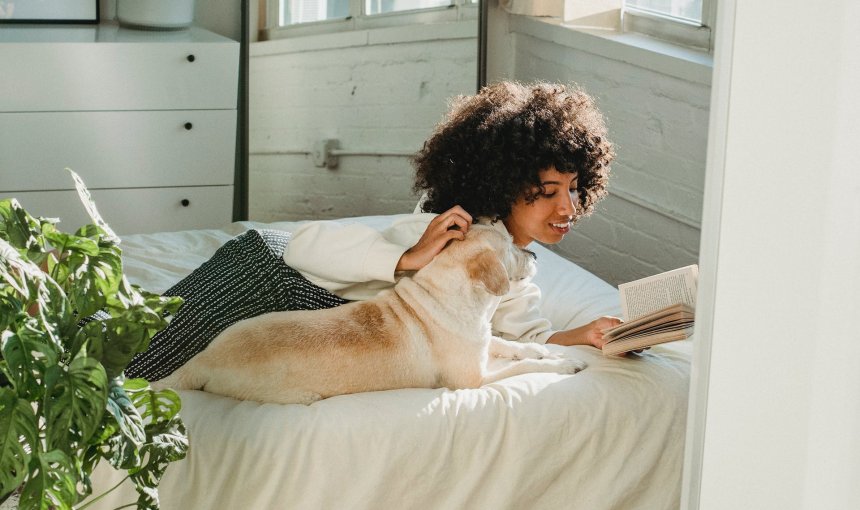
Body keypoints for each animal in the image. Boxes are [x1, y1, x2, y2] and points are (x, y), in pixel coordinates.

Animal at [153, 222, 584, 402]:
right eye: (511, 246)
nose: (535, 255)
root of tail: (204, 359)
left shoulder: (482, 341)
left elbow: (512, 346)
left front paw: (548, 351)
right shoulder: (473, 380)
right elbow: (520, 367)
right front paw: (563, 365)